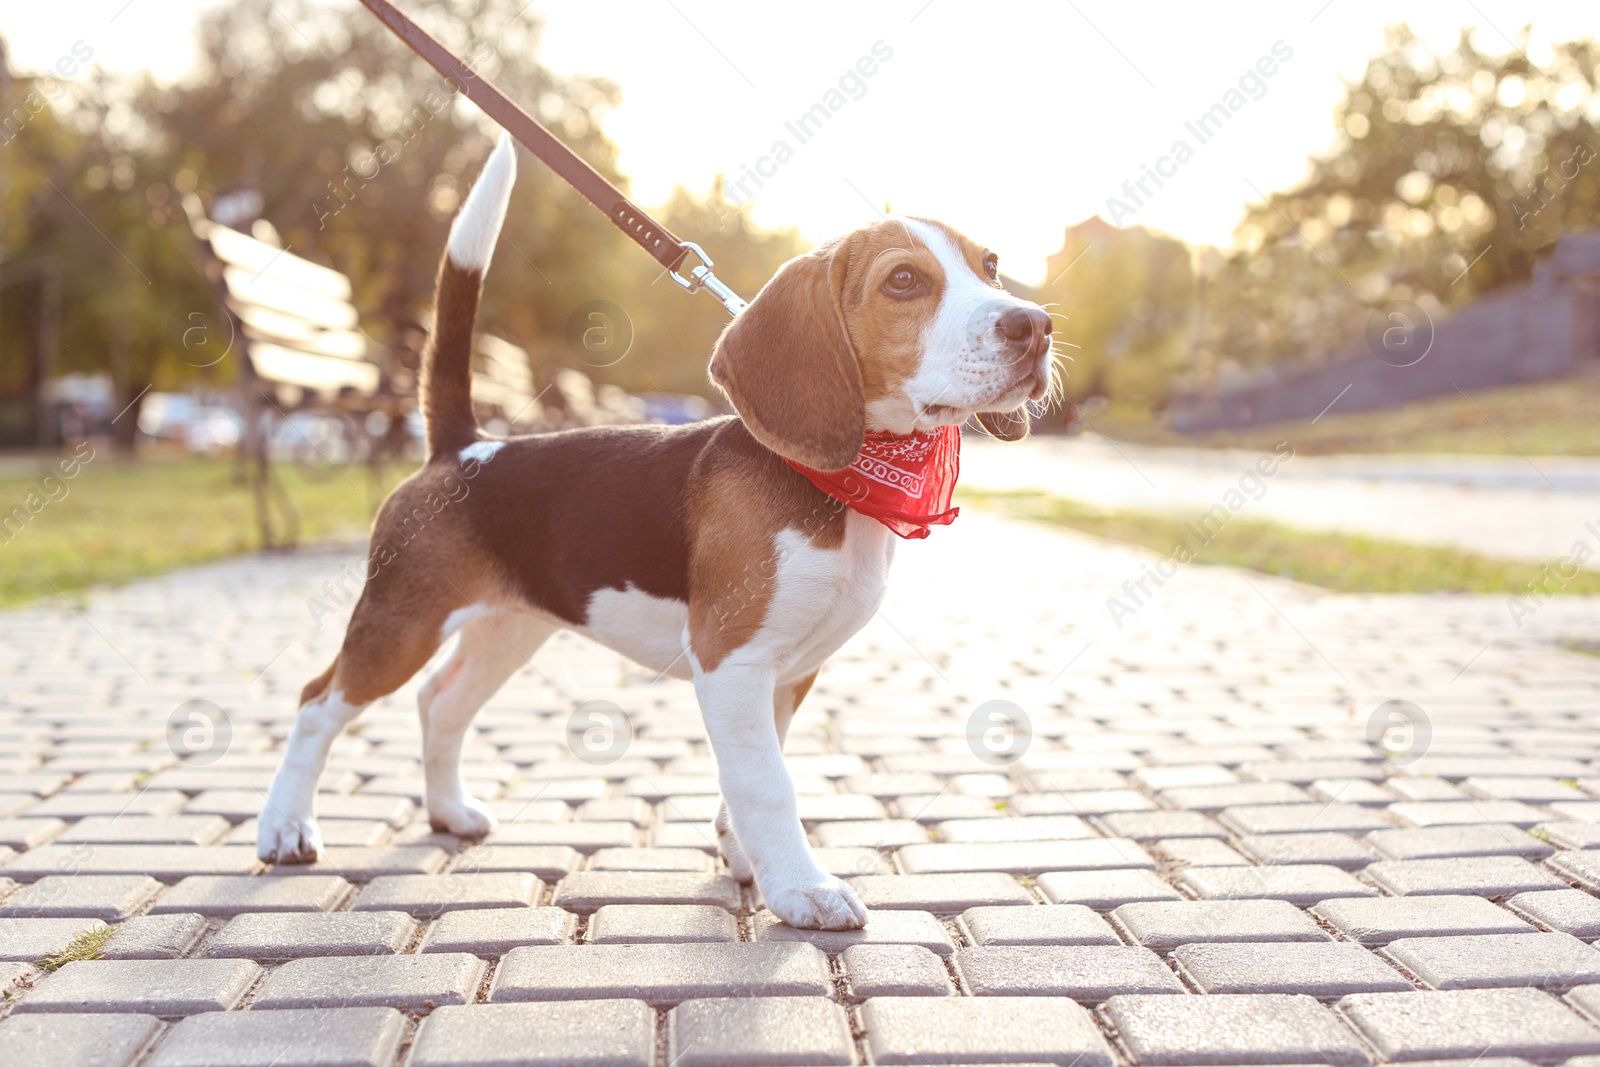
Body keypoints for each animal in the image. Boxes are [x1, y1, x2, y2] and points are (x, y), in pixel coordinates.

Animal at [256, 137, 1056, 927]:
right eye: (904, 281)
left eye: (990, 265)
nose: (1035, 325)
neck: (849, 481)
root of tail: (464, 448)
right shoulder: (732, 660)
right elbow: (768, 782)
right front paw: (802, 889)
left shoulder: (788, 671)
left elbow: (751, 773)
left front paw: (748, 860)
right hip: (402, 617)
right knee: (317, 703)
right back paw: (286, 827)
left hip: (510, 626)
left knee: (439, 702)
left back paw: (448, 811)